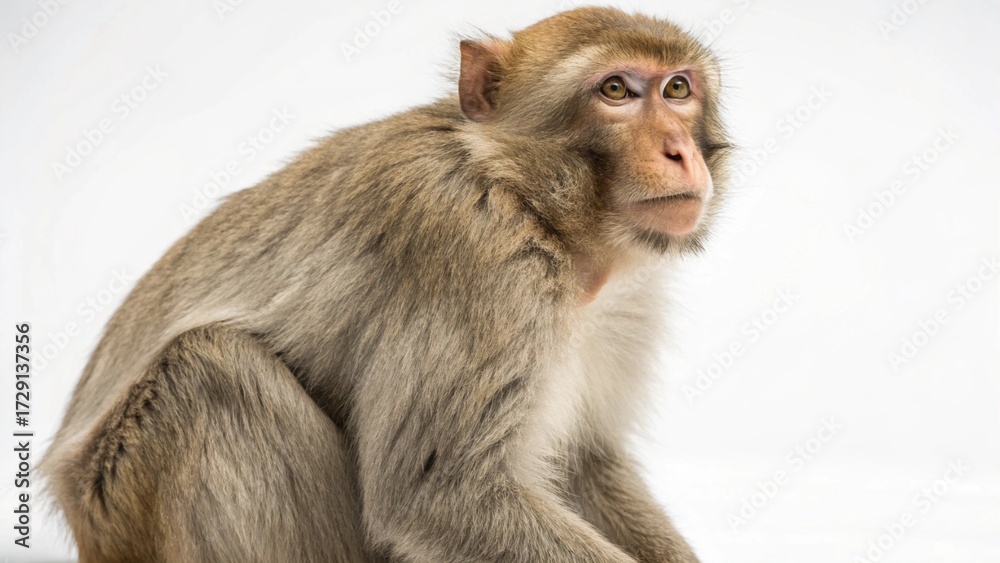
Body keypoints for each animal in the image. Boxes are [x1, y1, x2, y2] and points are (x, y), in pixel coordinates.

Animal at [42, 6, 731, 562]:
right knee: (210, 370)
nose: (678, 150)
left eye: (676, 88)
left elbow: (585, 463)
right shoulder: (475, 254)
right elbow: (438, 493)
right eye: (616, 90)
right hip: (117, 498)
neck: (536, 206)